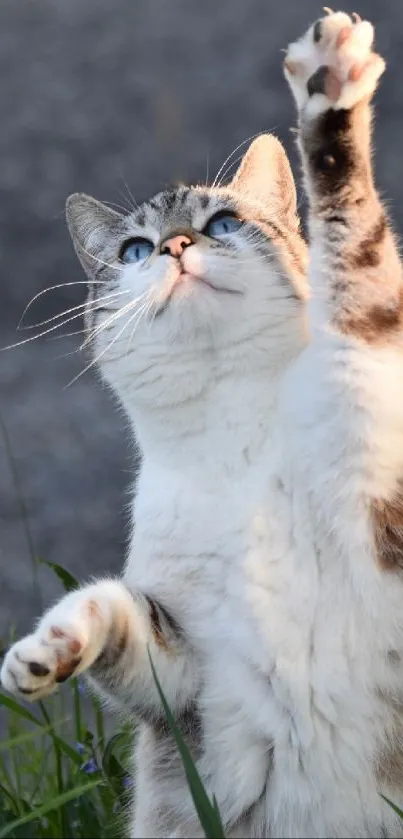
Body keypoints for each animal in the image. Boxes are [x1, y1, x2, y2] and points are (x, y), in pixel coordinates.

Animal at [2, 9, 403, 836]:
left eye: (221, 223)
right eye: (135, 249)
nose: (178, 246)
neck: (231, 436)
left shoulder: (371, 403)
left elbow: (353, 240)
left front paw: (329, 91)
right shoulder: (189, 674)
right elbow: (118, 608)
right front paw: (45, 647)